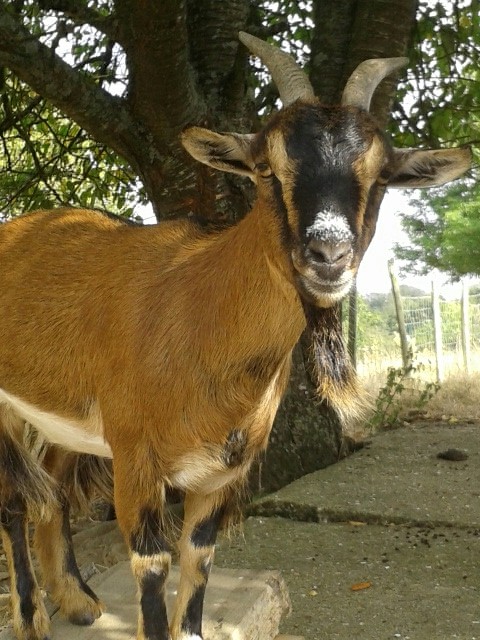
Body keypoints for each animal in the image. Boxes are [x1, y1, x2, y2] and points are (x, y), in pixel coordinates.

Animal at [0, 33, 472, 640]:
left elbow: (198, 561)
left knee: (54, 489)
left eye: (381, 175)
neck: (199, 313)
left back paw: (79, 602)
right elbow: (152, 568)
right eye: (266, 168)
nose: (328, 254)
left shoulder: (220, 474)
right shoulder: (136, 460)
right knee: (15, 501)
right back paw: (32, 617)